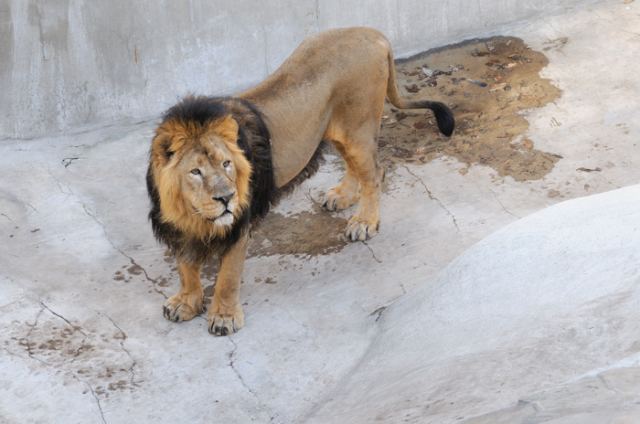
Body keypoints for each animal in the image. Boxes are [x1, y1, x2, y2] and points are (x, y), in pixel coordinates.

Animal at [147, 27, 454, 336]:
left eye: (226, 164)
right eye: (195, 172)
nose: (226, 198)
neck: (193, 213)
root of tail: (373, 33)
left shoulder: (239, 223)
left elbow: (228, 277)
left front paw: (224, 316)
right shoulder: (175, 226)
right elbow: (186, 268)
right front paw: (186, 302)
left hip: (358, 128)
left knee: (375, 174)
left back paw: (364, 222)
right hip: (335, 131)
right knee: (356, 168)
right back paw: (342, 196)